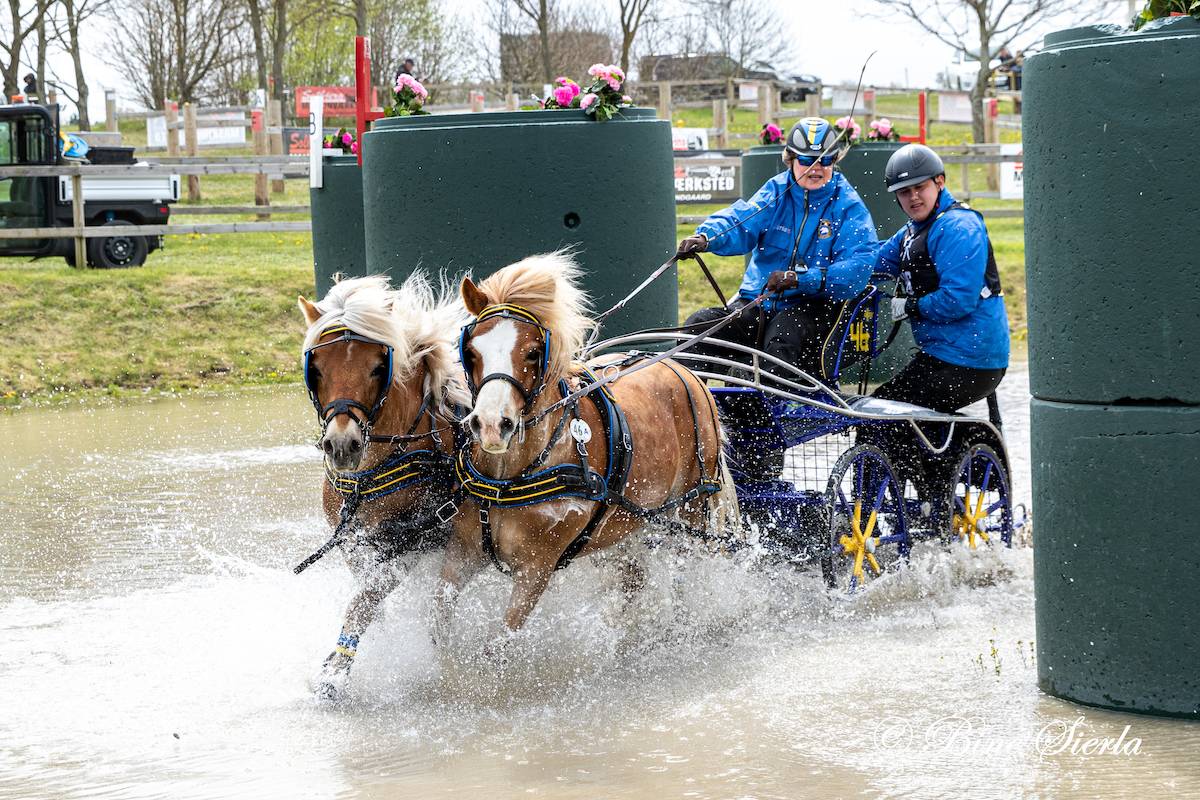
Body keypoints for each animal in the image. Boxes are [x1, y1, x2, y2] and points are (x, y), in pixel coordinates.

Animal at [296, 273, 470, 700]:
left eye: (378, 367)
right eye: (316, 368)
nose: (342, 444)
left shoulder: (412, 541)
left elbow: (365, 600)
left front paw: (335, 672)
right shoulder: (354, 543)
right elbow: (370, 599)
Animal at [434, 251, 740, 645]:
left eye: (533, 353)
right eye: (471, 352)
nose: (490, 424)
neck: (509, 478)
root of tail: (686, 373)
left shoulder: (536, 569)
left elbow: (500, 642)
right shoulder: (462, 552)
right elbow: (437, 621)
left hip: (692, 508)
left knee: (687, 570)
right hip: (624, 525)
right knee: (633, 579)